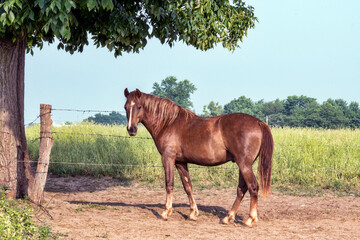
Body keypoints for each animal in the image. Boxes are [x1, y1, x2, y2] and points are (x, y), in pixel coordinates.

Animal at [124, 88, 272, 227]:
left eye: (139, 107)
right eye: (126, 107)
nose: (131, 129)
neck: (168, 123)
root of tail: (259, 123)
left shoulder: (168, 158)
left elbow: (169, 184)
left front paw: (166, 212)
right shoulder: (180, 162)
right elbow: (187, 186)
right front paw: (193, 213)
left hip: (244, 165)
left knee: (253, 187)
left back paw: (250, 219)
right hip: (243, 165)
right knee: (242, 189)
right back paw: (228, 217)